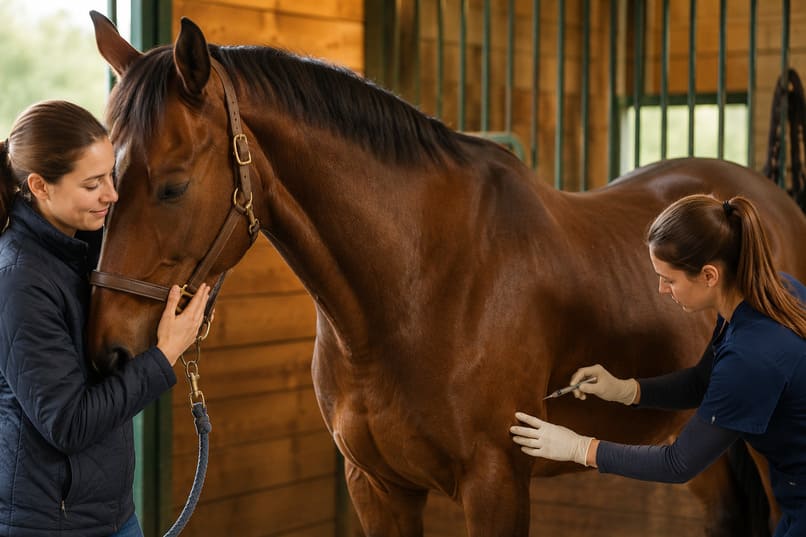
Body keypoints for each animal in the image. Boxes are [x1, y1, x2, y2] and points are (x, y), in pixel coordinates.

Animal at [87, 11, 806, 536]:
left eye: (174, 185)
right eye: (105, 181)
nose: (107, 350)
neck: (417, 286)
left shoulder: (496, 484)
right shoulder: (378, 488)